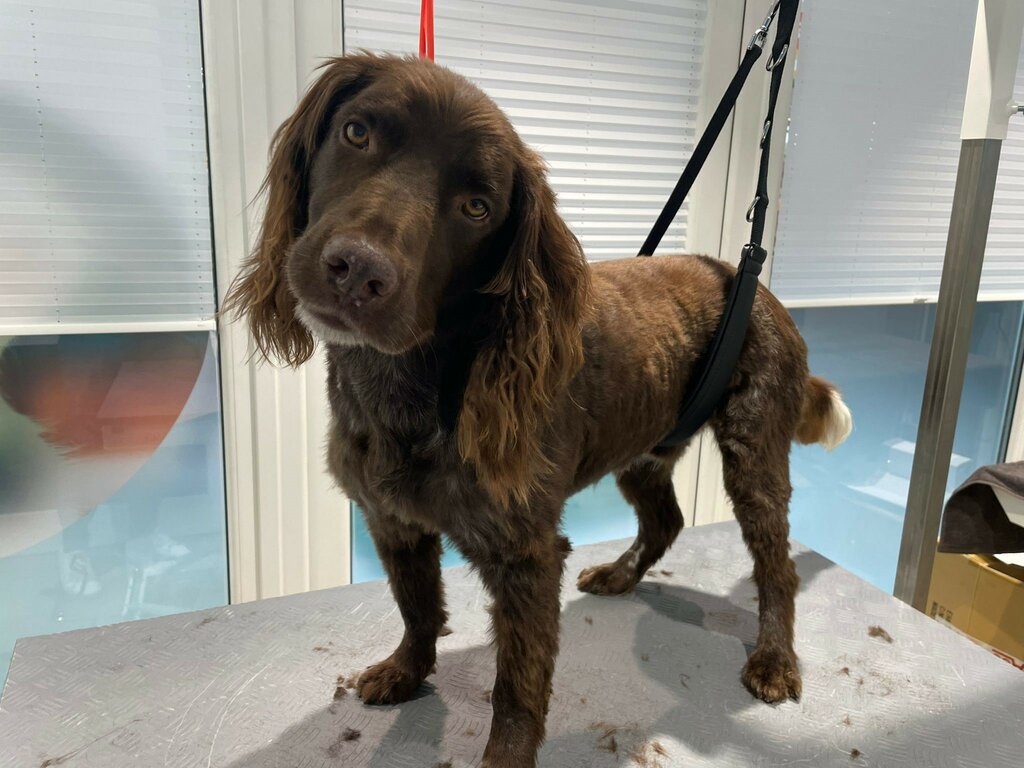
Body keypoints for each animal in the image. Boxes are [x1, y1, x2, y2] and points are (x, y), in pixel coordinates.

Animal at [226, 53, 852, 767]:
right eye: (357, 133)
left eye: (477, 207)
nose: (358, 272)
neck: (412, 385)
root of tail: (755, 286)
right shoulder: (393, 521)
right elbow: (417, 608)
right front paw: (407, 671)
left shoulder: (525, 556)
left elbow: (517, 688)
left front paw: (504, 754)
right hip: (642, 451)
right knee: (665, 520)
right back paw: (621, 575)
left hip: (754, 455)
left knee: (777, 566)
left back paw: (775, 659)